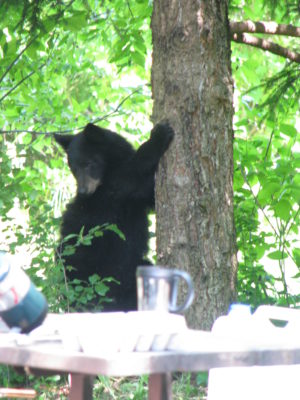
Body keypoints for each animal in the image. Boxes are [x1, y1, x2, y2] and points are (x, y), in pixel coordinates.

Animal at [55, 123, 175, 310]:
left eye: (88, 163)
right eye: (73, 168)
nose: (83, 191)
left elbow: (151, 195)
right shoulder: (112, 191)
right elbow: (132, 172)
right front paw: (158, 135)